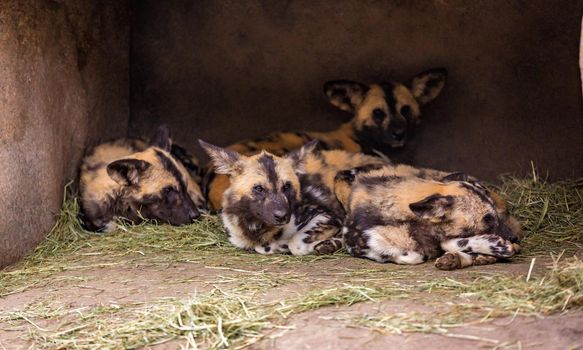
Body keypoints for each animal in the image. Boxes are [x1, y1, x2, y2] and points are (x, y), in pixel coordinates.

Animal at [200, 140, 388, 258]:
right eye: (259, 189)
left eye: (287, 186)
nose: (282, 215)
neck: (256, 227)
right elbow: (264, 247)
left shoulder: (327, 216)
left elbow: (295, 243)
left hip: (341, 180)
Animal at [336, 165, 524, 270]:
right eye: (487, 218)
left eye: (494, 214)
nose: (514, 238)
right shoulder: (356, 244)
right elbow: (413, 255)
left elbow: (446, 243)